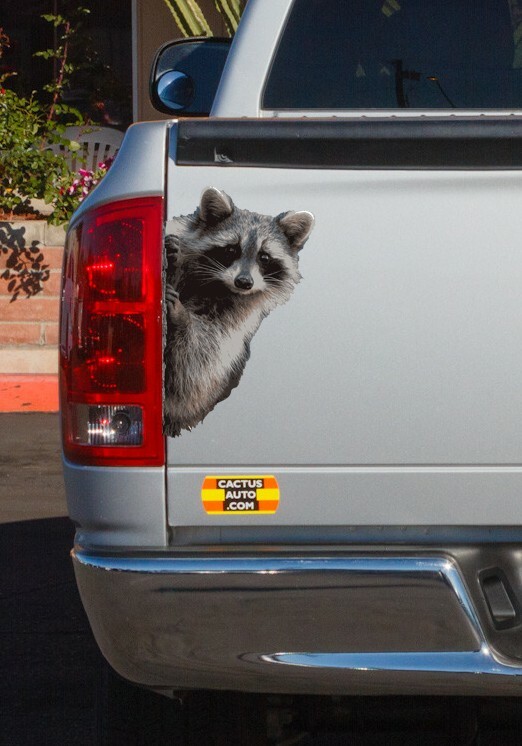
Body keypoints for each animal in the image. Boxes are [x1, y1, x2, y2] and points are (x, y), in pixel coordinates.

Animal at [163, 187, 314, 437]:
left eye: (264, 257)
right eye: (231, 249)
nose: (244, 282)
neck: (213, 284)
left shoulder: (234, 321)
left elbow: (198, 365)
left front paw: (182, 318)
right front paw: (175, 259)